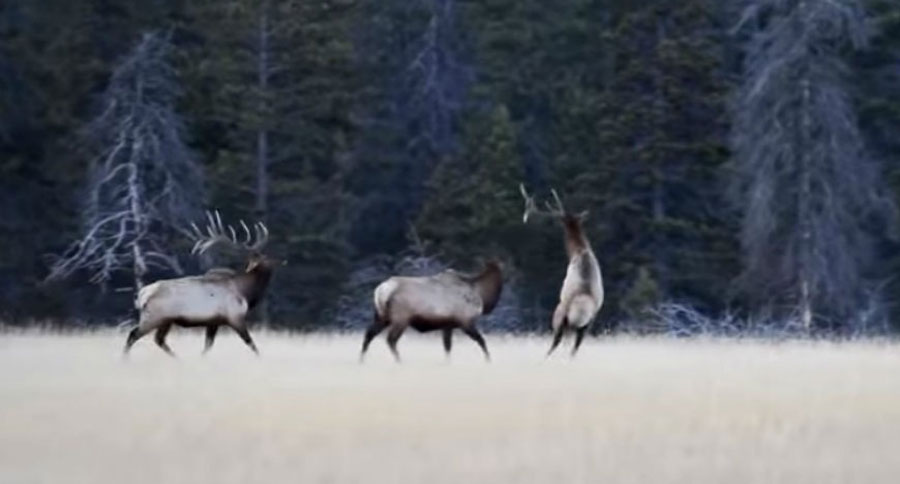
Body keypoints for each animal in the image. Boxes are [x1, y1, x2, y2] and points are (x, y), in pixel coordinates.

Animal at [122, 212, 278, 356]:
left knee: (158, 339)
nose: (279, 261)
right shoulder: (235, 317)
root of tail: (142, 294)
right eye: (266, 258)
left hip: (165, 320)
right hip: (154, 317)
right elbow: (251, 343)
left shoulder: (213, 322)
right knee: (133, 335)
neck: (246, 293)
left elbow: (207, 346)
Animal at [360, 260, 502, 360]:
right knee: (391, 339)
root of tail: (381, 290)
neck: (481, 294)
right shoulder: (465, 321)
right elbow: (482, 341)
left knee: (369, 334)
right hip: (401, 318)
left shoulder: (448, 325)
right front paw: (489, 360)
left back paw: (361, 360)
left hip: (382, 316)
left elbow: (447, 347)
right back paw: (399, 361)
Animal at [520, 184, 604, 356]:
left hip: (559, 315)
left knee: (554, 343)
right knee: (574, 349)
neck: (578, 251)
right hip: (587, 324)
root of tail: (580, 313)